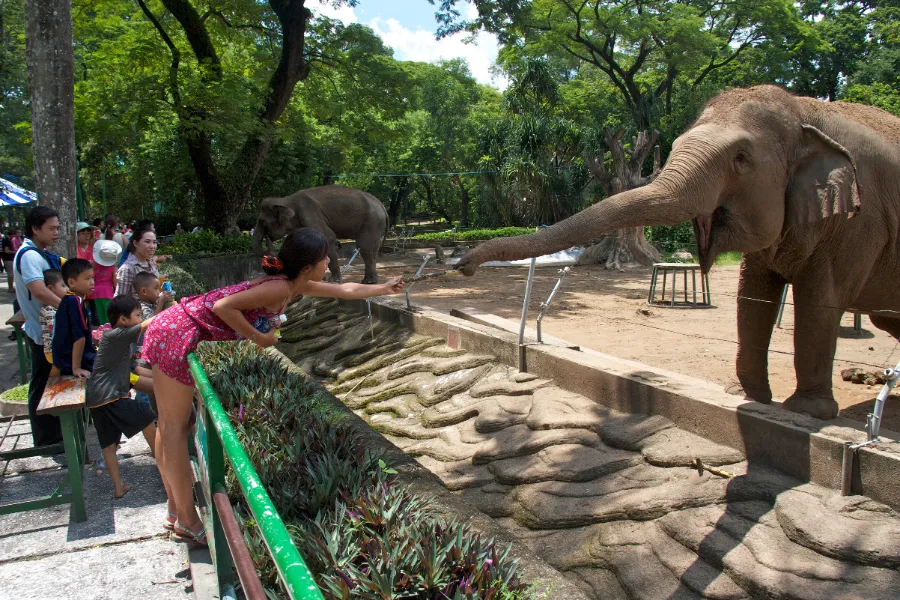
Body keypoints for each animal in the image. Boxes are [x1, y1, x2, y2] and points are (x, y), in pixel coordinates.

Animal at [256, 184, 390, 284]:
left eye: (262, 221)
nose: (266, 238)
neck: (285, 200)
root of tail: (382, 206)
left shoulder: (309, 211)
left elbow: (328, 237)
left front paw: (332, 280)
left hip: (372, 221)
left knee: (364, 246)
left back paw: (368, 282)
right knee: (372, 248)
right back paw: (370, 280)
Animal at [460, 85, 900, 422]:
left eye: (741, 158)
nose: (462, 264)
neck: (806, 109)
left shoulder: (860, 220)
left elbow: (819, 301)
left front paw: (804, 412)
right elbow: (751, 297)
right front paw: (747, 397)